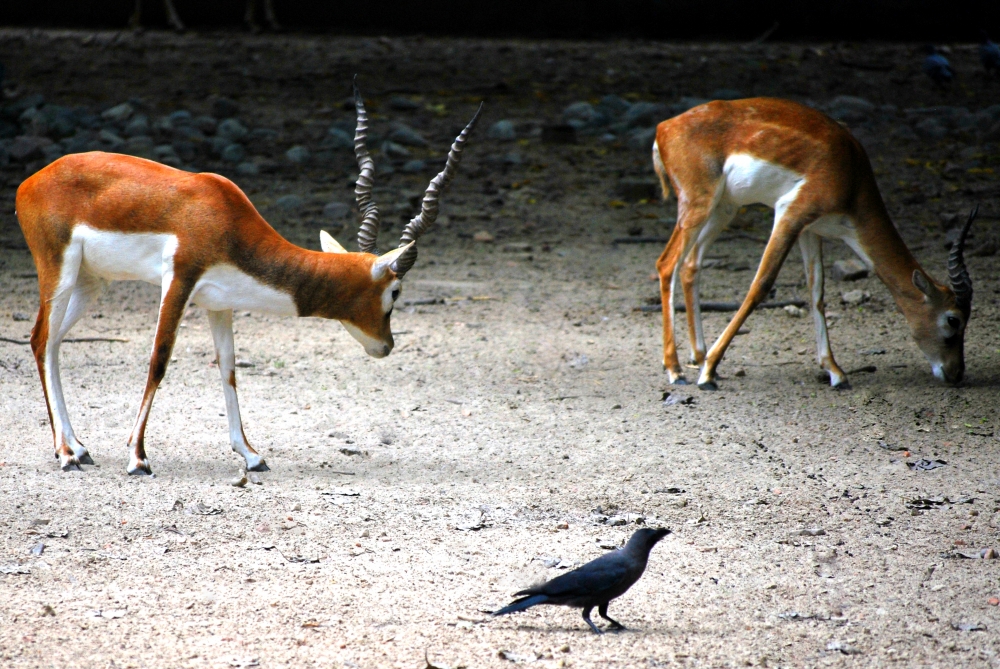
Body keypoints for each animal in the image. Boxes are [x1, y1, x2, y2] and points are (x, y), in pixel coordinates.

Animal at [16, 83, 481, 475]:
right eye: (396, 291)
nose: (386, 346)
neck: (226, 220)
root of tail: (30, 182)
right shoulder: (179, 280)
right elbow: (159, 361)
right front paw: (138, 458)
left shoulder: (219, 304)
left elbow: (228, 369)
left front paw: (251, 455)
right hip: (59, 269)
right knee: (40, 338)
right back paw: (65, 454)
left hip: (91, 283)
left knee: (52, 344)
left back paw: (77, 448)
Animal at [651, 98, 976, 390]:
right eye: (953, 320)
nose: (957, 373)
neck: (850, 174)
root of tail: (664, 127)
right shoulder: (790, 213)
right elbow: (760, 286)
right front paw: (707, 374)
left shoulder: (811, 229)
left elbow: (817, 292)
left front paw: (835, 371)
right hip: (698, 204)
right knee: (666, 263)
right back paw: (677, 370)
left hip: (724, 209)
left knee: (689, 265)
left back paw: (698, 356)